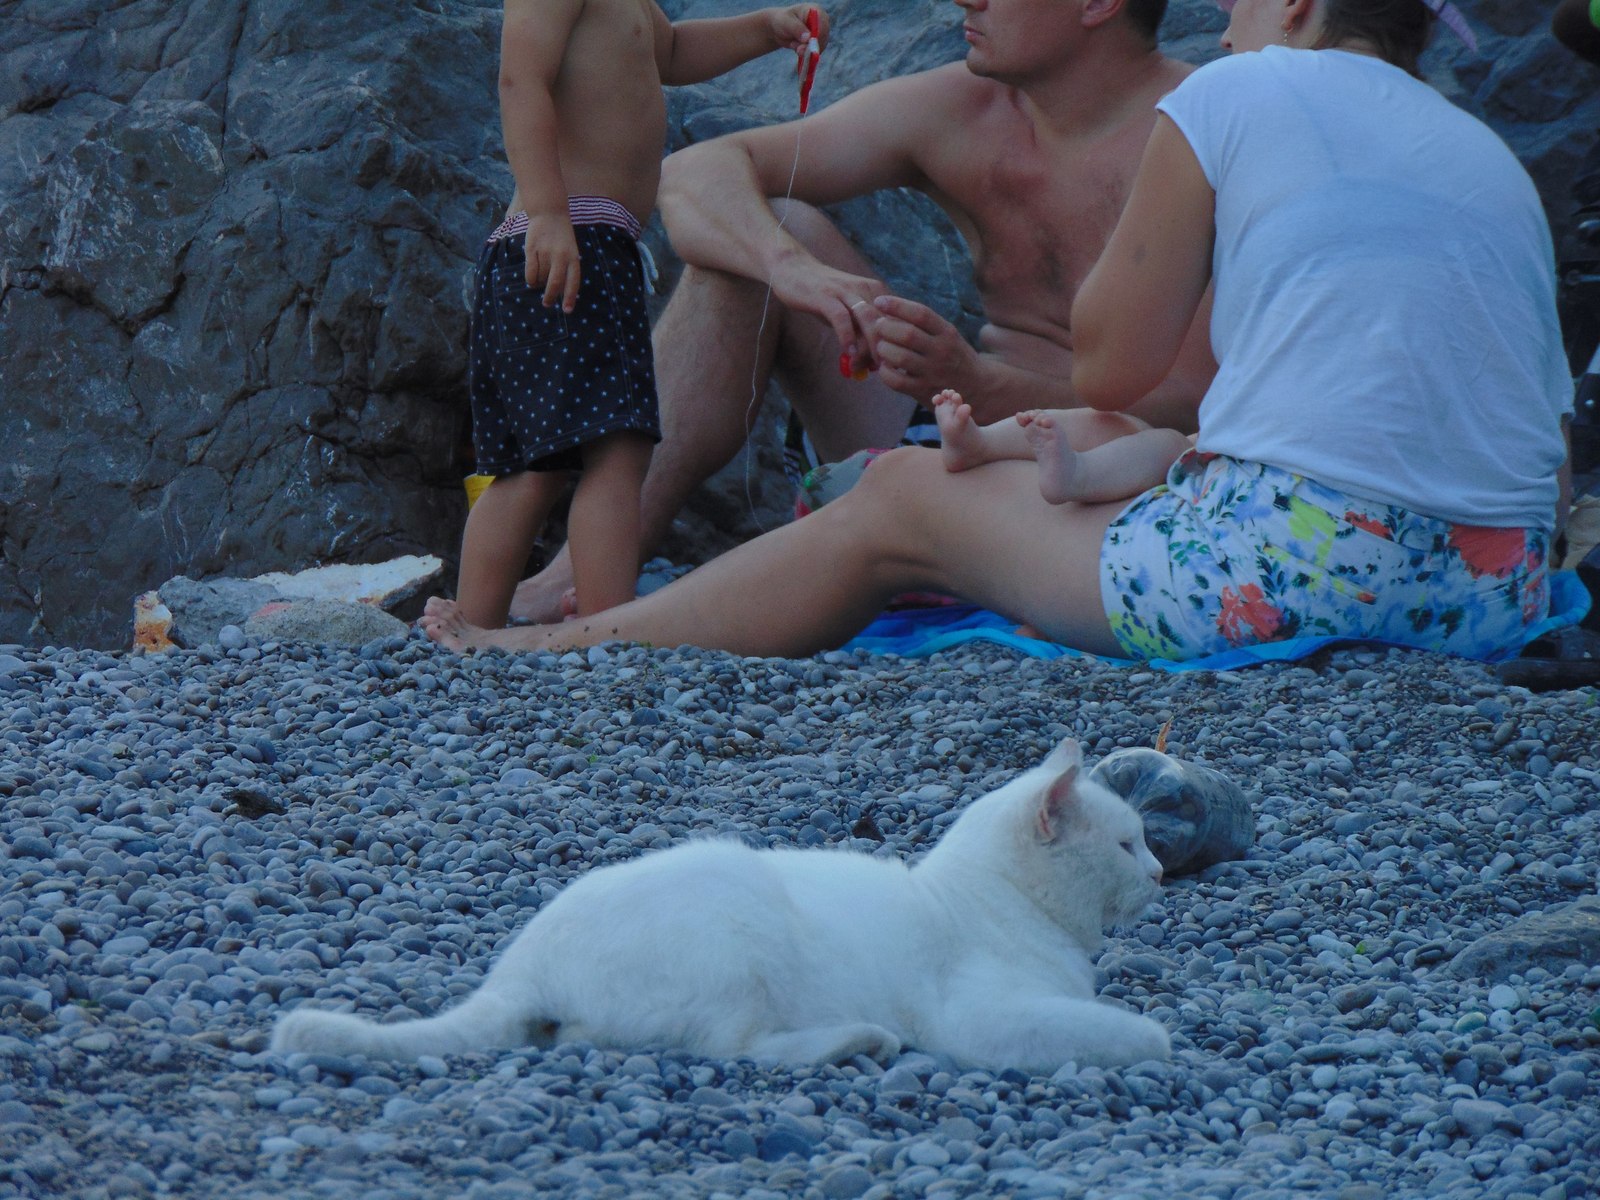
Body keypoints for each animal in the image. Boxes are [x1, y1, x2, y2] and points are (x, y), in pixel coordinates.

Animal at [272, 739, 1177, 1075]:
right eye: (1128, 844)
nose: (1164, 871)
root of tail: (522, 963)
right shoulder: (981, 1017)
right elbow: (1127, 1032)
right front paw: (1161, 1042)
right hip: (737, 922)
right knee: (738, 1049)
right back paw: (861, 1039)